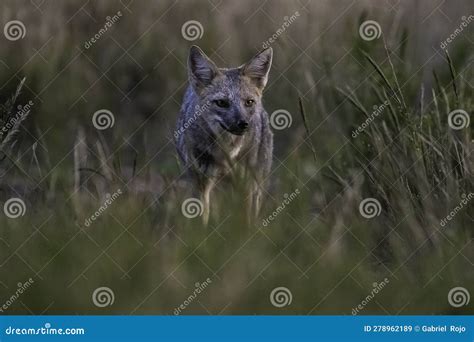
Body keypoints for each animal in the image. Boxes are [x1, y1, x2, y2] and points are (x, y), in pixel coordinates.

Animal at [175, 45, 274, 226]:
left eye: (249, 102)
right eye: (221, 103)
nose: (243, 123)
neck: (226, 150)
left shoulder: (245, 183)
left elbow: (244, 221)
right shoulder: (201, 182)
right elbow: (201, 219)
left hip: (255, 182)